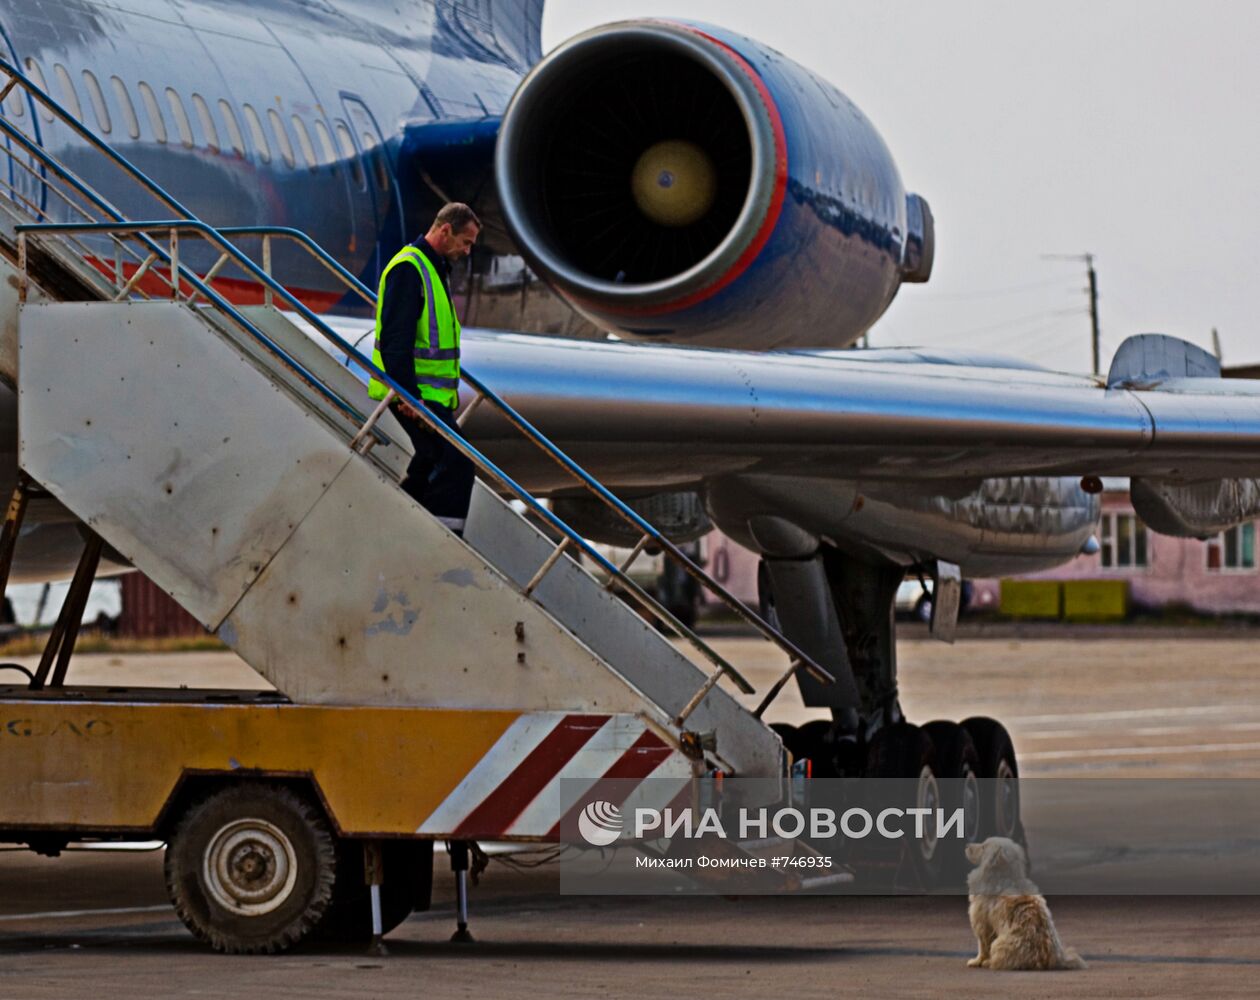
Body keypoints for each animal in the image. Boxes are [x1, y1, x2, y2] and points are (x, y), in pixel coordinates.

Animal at [962, 836, 1083, 967]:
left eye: (983, 847)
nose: (967, 845)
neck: (1002, 875)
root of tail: (1050, 959)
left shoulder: (982, 924)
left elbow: (982, 947)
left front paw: (977, 961)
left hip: (999, 943)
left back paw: (989, 962)